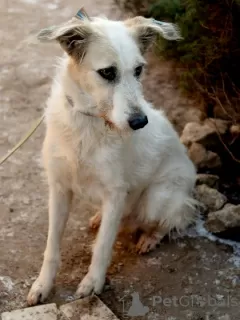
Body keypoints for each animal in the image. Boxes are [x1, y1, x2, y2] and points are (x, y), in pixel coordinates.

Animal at [26, 14, 197, 304]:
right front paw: (42, 285)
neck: (90, 124)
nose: (140, 122)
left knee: (177, 218)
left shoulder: (116, 192)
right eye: (107, 72)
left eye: (138, 70)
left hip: (156, 199)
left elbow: (103, 246)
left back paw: (150, 238)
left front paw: (92, 283)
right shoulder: (59, 188)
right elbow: (52, 246)